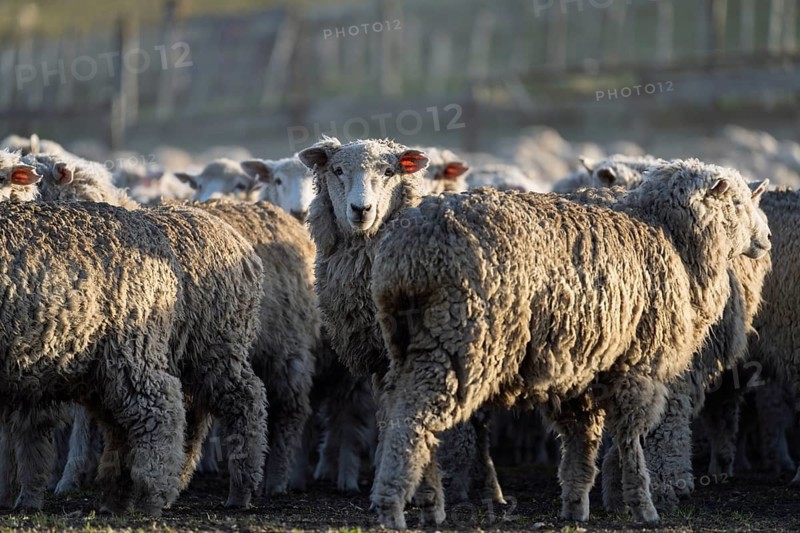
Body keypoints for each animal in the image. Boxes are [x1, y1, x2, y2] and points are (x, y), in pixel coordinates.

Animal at [298, 136, 505, 523]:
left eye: (389, 171)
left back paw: (489, 489)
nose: (360, 209)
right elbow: (387, 413)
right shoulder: (379, 356)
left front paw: (424, 493)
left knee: (480, 422)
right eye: (337, 170)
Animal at [369, 159, 770, 527]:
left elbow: (582, 441)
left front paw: (578, 505)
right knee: (414, 416)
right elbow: (629, 437)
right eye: (736, 202)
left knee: (400, 409)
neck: (670, 235)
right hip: (458, 339)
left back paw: (427, 503)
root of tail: (412, 247)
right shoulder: (637, 364)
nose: (766, 239)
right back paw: (394, 506)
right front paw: (641, 505)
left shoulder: (581, 369)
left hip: (404, 340)